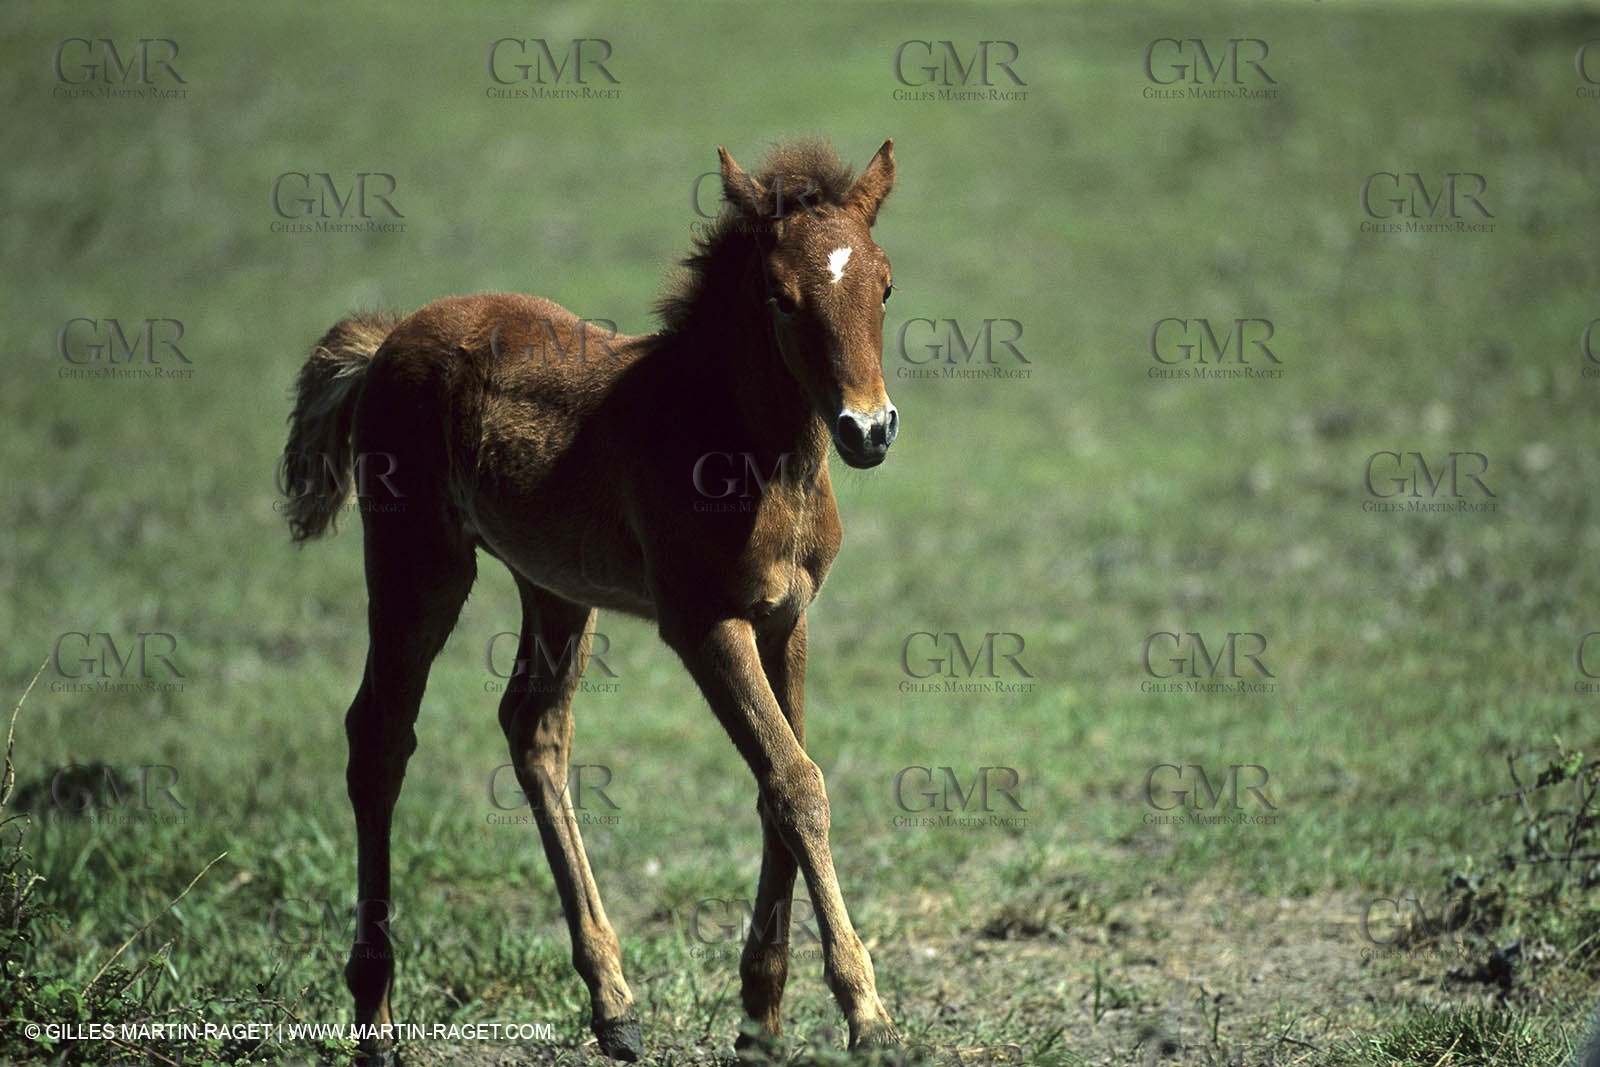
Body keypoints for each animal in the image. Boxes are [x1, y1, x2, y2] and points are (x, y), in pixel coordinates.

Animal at [282, 137, 902, 1063]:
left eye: (885, 285)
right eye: (779, 296)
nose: (868, 429)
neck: (737, 441)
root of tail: (388, 335)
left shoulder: (788, 618)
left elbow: (780, 787)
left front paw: (761, 1013)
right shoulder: (703, 621)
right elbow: (796, 781)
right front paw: (868, 1014)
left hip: (555, 587)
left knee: (533, 728)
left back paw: (613, 1003)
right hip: (418, 561)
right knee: (379, 734)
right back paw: (376, 1019)